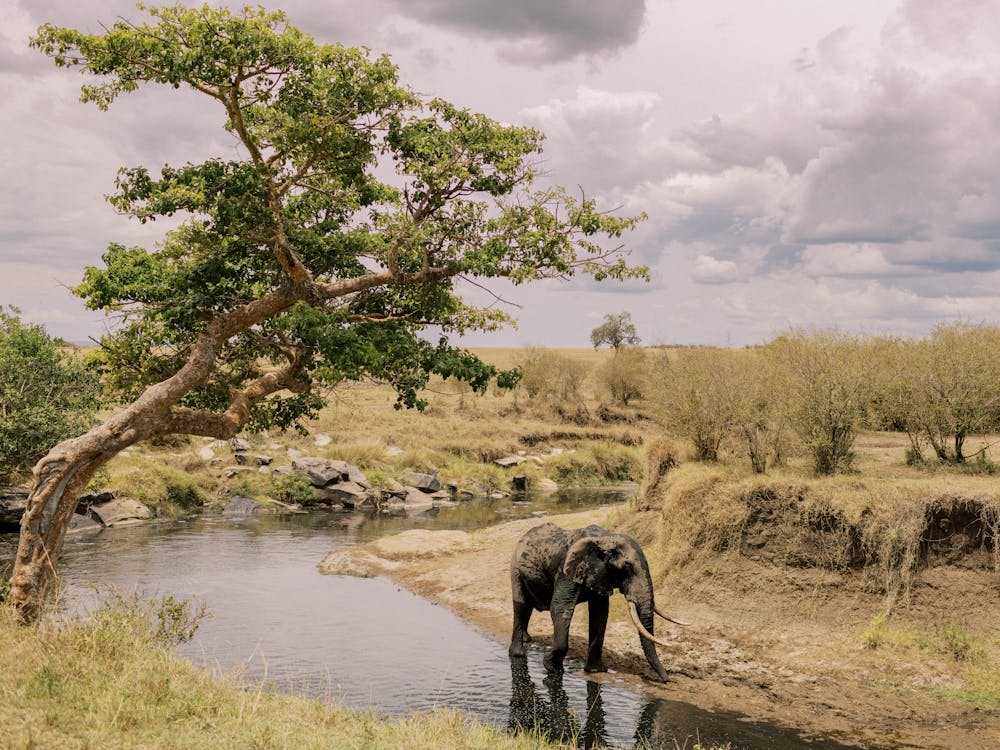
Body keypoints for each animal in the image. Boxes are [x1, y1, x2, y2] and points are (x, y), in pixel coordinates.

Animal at [508, 522, 687, 681]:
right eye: (627, 567)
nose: (667, 680)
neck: (606, 538)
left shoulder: (601, 574)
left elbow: (600, 613)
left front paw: (596, 671)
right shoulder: (568, 569)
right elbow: (560, 607)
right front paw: (552, 668)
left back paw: (527, 640)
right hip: (515, 568)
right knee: (521, 606)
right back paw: (518, 654)